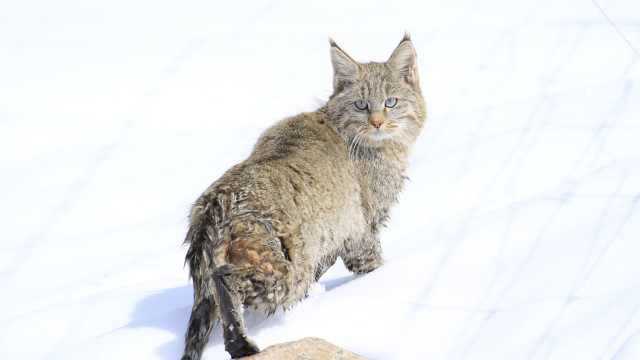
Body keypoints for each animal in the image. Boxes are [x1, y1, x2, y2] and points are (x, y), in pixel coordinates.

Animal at [181, 34, 424, 360]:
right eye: (361, 105)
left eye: (391, 102)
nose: (376, 123)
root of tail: (215, 201)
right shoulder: (360, 227)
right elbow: (371, 262)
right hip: (285, 268)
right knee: (226, 278)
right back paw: (240, 342)